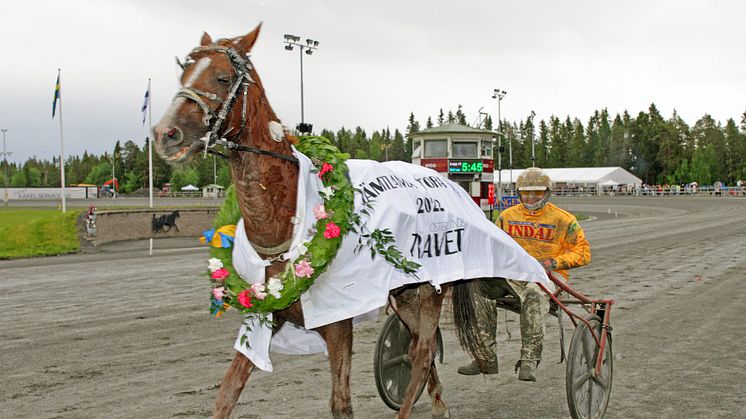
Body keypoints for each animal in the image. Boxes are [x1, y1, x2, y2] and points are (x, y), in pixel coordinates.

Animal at [153, 24, 488, 418]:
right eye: (183, 73)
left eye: (222, 77)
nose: (165, 133)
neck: (287, 223)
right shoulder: (264, 314)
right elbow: (227, 392)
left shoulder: (338, 323)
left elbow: (340, 403)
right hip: (404, 294)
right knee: (418, 348)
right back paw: (438, 405)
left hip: (431, 289)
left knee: (422, 352)